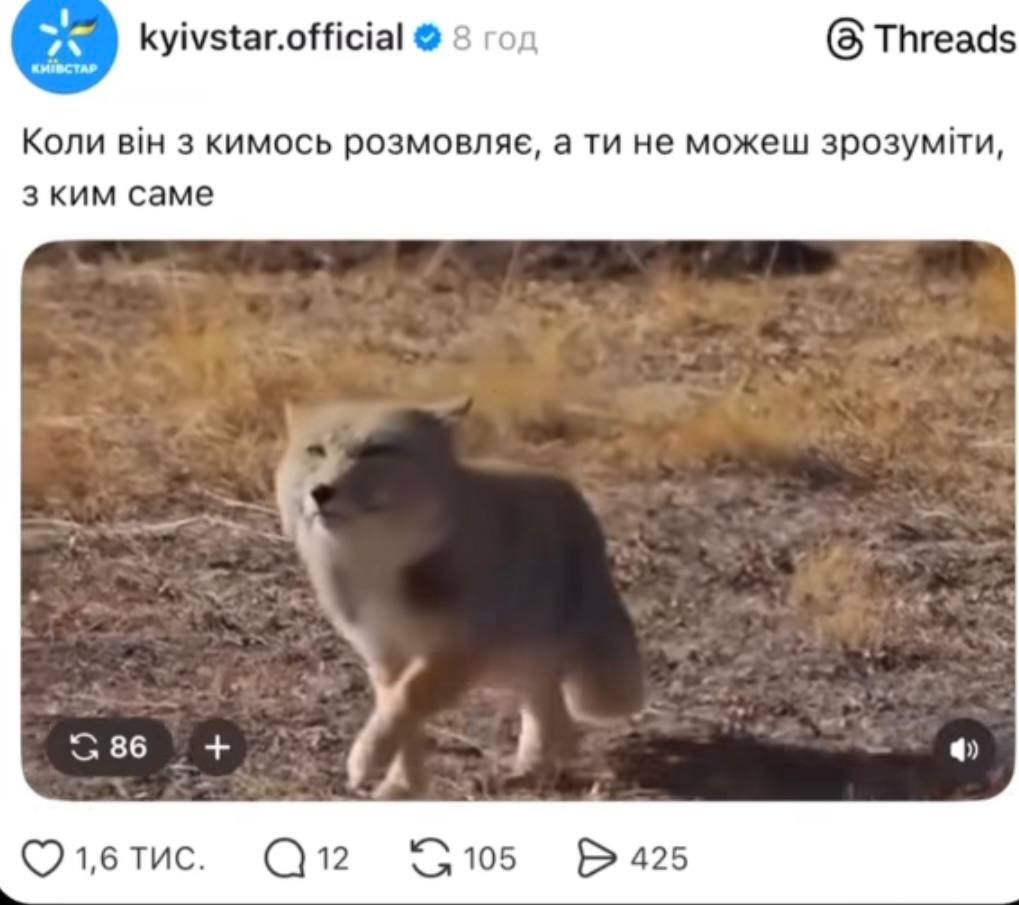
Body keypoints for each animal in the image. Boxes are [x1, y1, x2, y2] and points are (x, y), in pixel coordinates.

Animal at [275, 395, 644, 799]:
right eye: (316, 451)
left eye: (374, 450)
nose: (320, 492)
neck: (379, 563)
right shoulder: (385, 656)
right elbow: (401, 717)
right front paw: (402, 785)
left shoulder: (456, 651)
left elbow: (406, 702)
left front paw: (369, 757)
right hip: (520, 663)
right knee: (547, 709)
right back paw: (533, 768)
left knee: (552, 707)